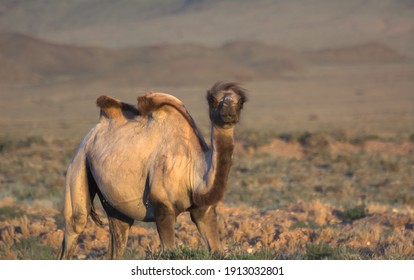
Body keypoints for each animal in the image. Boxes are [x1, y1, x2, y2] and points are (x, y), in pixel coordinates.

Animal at [57, 81, 246, 260]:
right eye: (213, 100)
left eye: (241, 101)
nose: (228, 113)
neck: (194, 173)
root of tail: (91, 134)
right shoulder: (163, 207)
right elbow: (170, 252)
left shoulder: (203, 211)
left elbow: (217, 251)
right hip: (78, 163)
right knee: (76, 223)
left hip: (114, 203)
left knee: (118, 234)